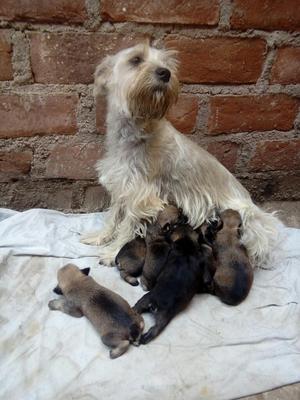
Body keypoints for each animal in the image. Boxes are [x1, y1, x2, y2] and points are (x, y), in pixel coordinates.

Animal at [81, 42, 278, 268]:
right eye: (136, 59)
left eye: (167, 64)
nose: (165, 73)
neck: (136, 129)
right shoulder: (121, 186)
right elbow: (113, 217)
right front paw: (100, 237)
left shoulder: (140, 196)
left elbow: (127, 226)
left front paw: (113, 252)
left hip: (244, 216)